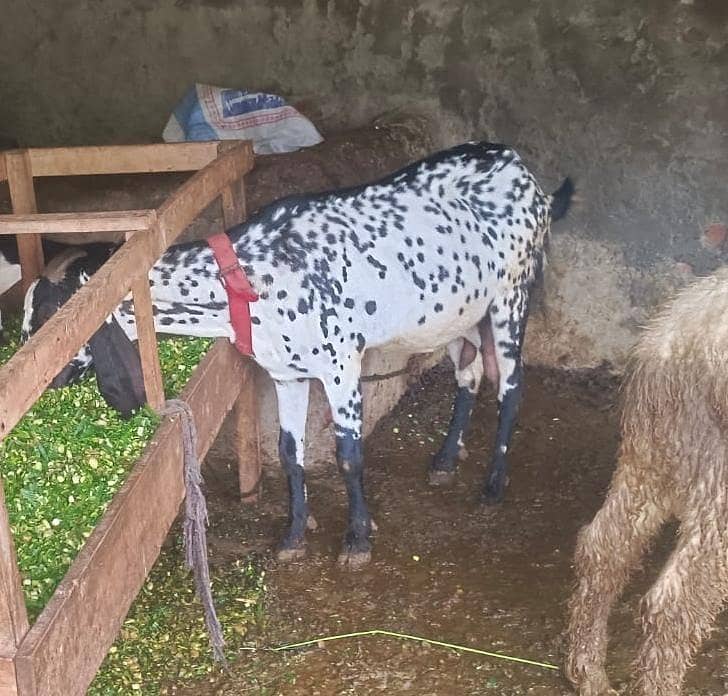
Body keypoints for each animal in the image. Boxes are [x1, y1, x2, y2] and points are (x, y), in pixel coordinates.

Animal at [23, 142, 573, 567]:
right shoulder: (285, 373)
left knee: (510, 387)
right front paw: (292, 534)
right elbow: (290, 453)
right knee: (469, 374)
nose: (43, 380)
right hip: (458, 312)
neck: (255, 273)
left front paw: (356, 539)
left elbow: (349, 454)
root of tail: (525, 174)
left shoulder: (341, 365)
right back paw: (444, 458)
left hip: (511, 298)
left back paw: (493, 485)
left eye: (50, 313)